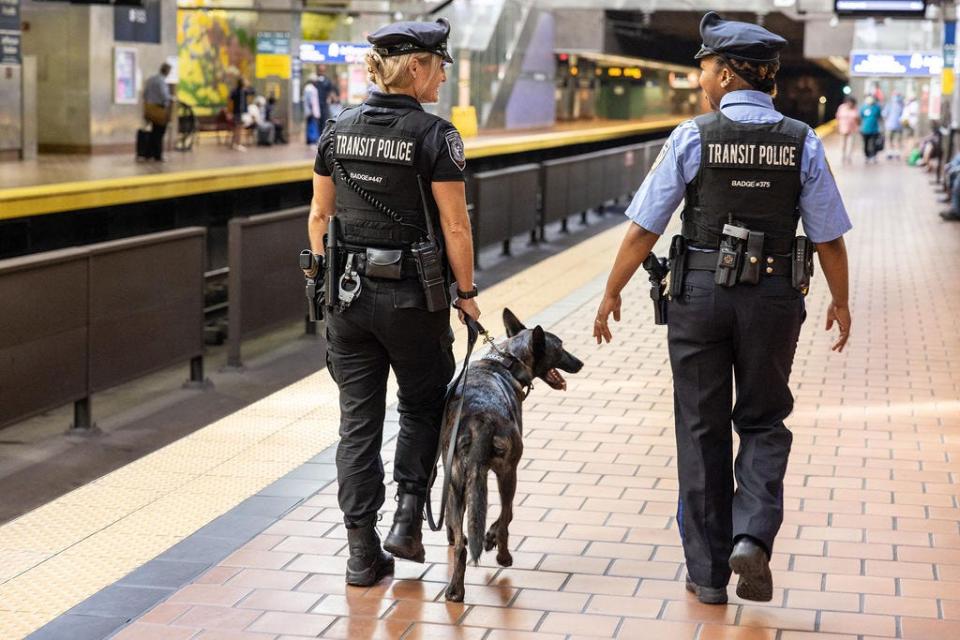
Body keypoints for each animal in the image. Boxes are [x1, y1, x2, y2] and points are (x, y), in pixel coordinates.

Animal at [438, 308, 580, 600]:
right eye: (560, 348)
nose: (580, 363)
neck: (506, 363)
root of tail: (479, 420)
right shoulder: (510, 469)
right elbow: (508, 514)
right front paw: (491, 537)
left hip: (457, 484)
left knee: (460, 546)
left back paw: (455, 589)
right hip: (507, 474)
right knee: (506, 516)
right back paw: (503, 555)